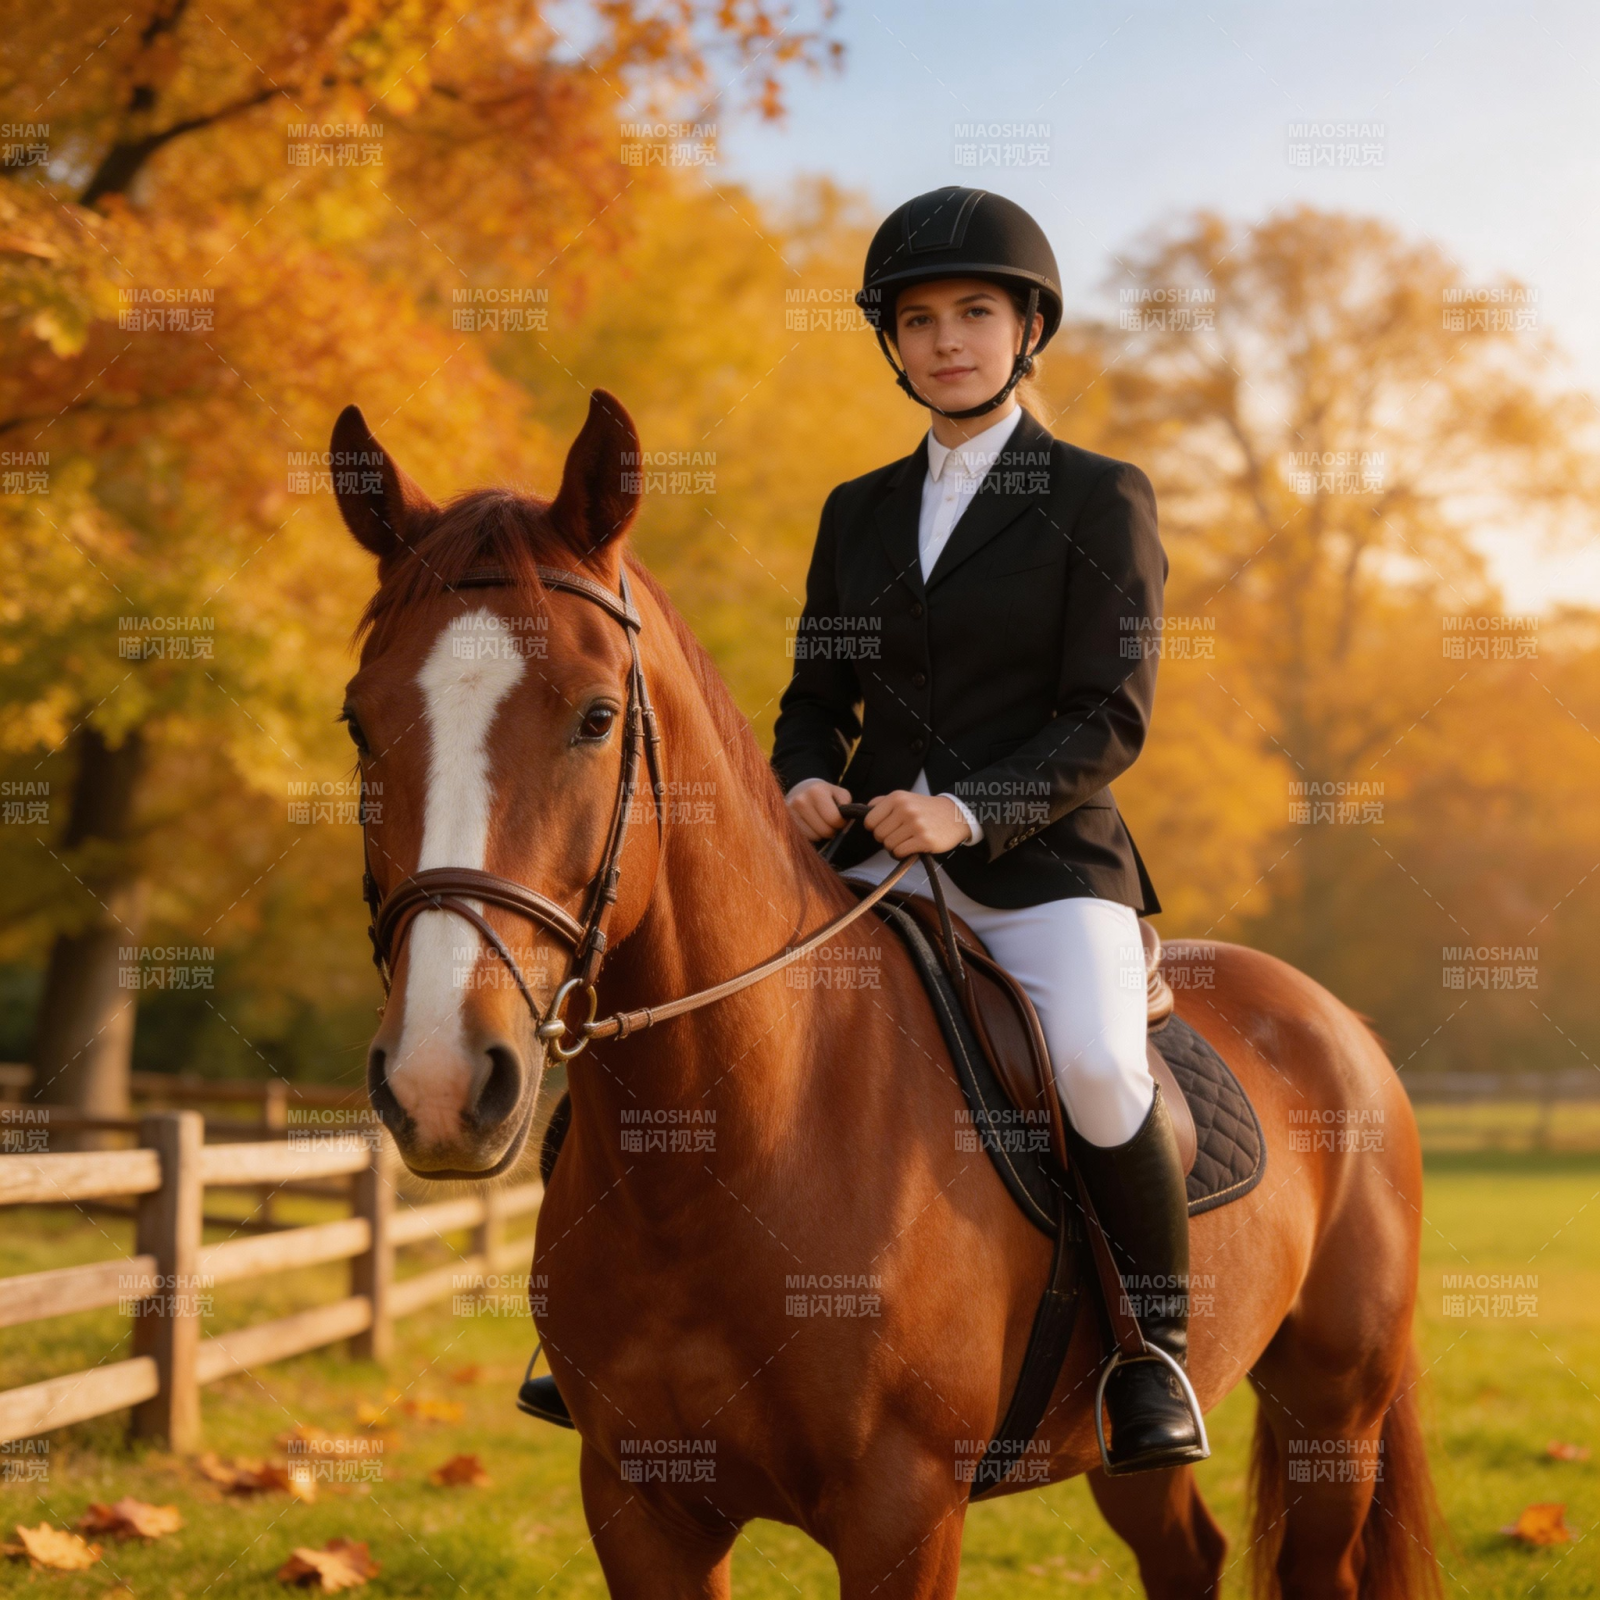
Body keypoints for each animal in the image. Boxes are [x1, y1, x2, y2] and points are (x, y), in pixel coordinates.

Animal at [333, 389, 1442, 1599]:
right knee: (1183, 1551)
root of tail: (1338, 1023)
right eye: (358, 720)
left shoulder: (901, 1512)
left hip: (1334, 1411)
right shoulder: (639, 1507)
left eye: (593, 717)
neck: (724, 1146)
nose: (440, 1083)